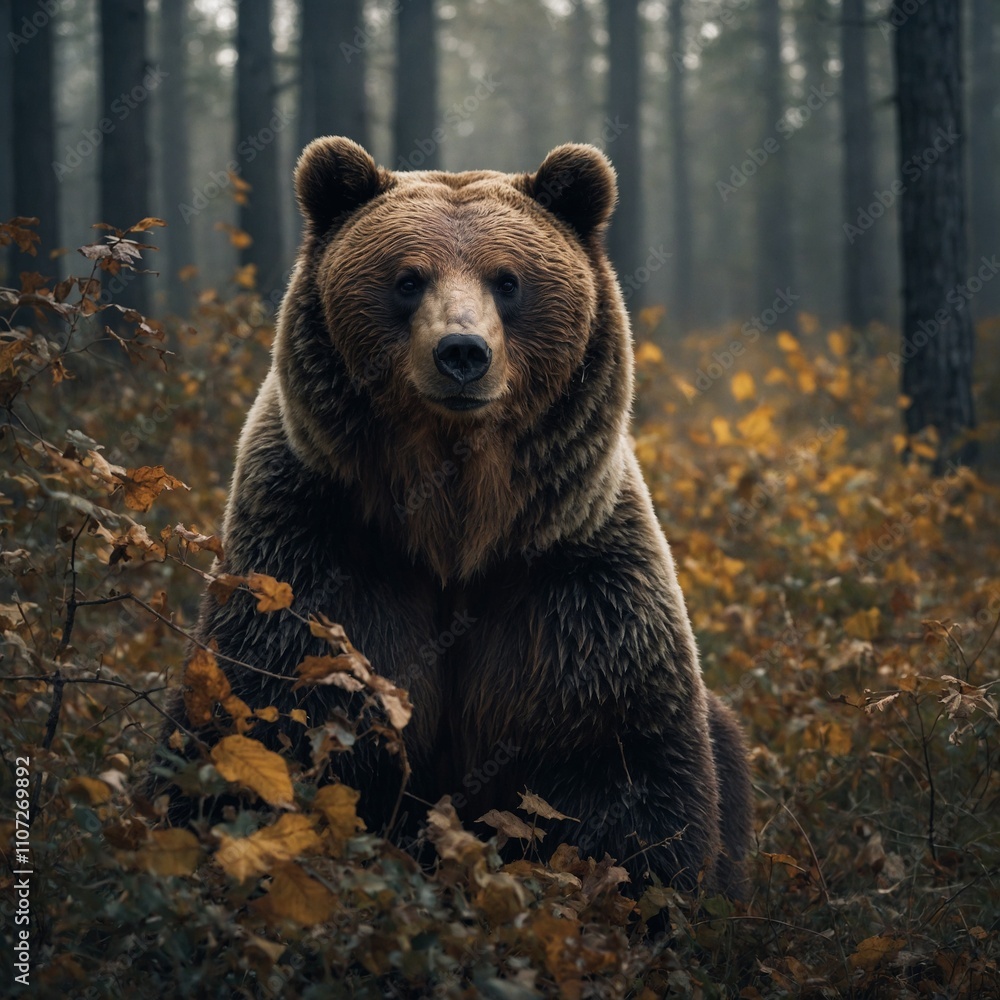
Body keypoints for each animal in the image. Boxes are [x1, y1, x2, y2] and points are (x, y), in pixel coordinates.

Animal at [156, 136, 753, 898]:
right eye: (408, 279)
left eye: (509, 280)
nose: (462, 352)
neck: (455, 526)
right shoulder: (322, 550)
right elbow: (265, 718)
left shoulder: (569, 582)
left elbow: (616, 766)